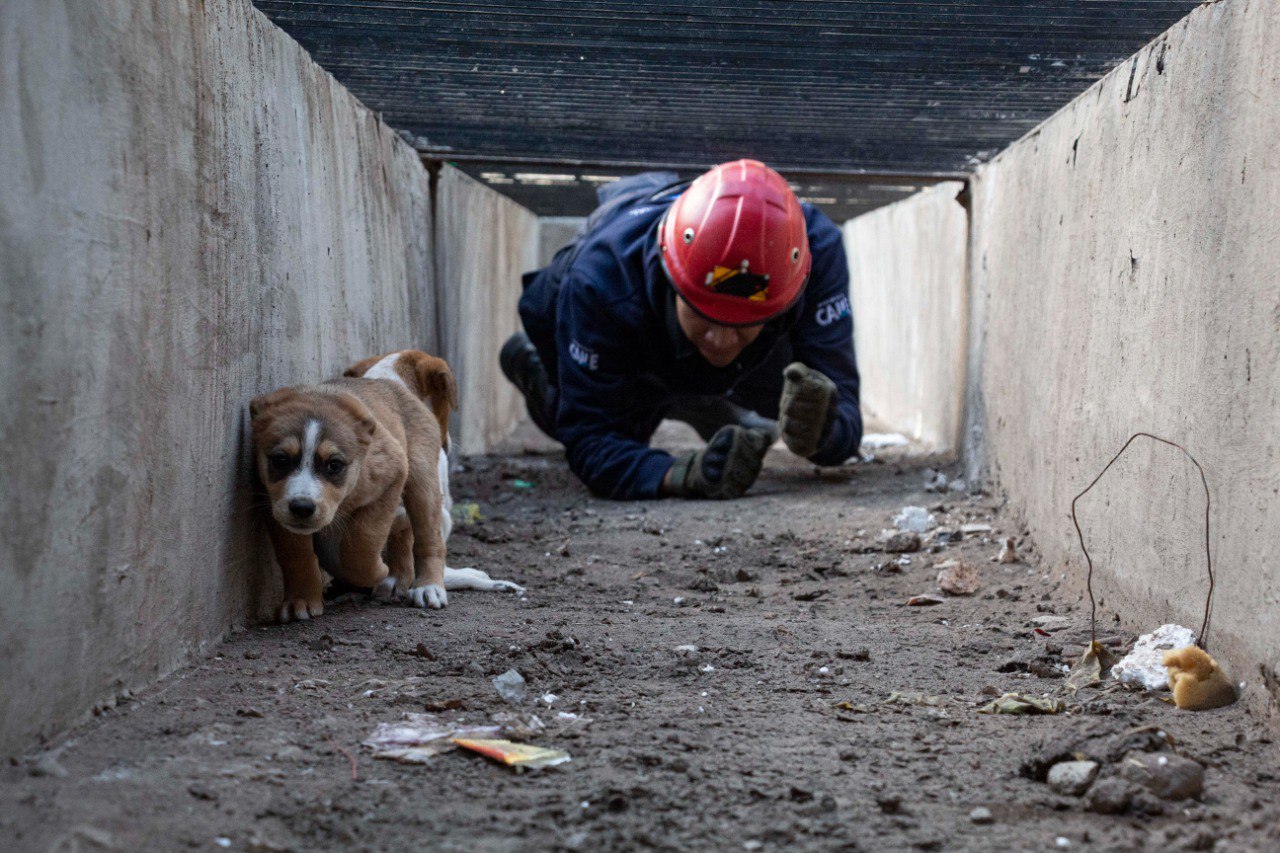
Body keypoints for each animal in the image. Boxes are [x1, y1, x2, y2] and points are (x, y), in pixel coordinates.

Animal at [249, 376, 450, 622]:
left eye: (334, 465)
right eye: (280, 460)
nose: (302, 507)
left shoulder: (392, 476)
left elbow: (361, 545)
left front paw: (378, 571)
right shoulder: (275, 505)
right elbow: (296, 554)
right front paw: (301, 599)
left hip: (422, 479)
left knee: (429, 539)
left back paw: (428, 587)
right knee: (404, 530)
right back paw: (398, 575)